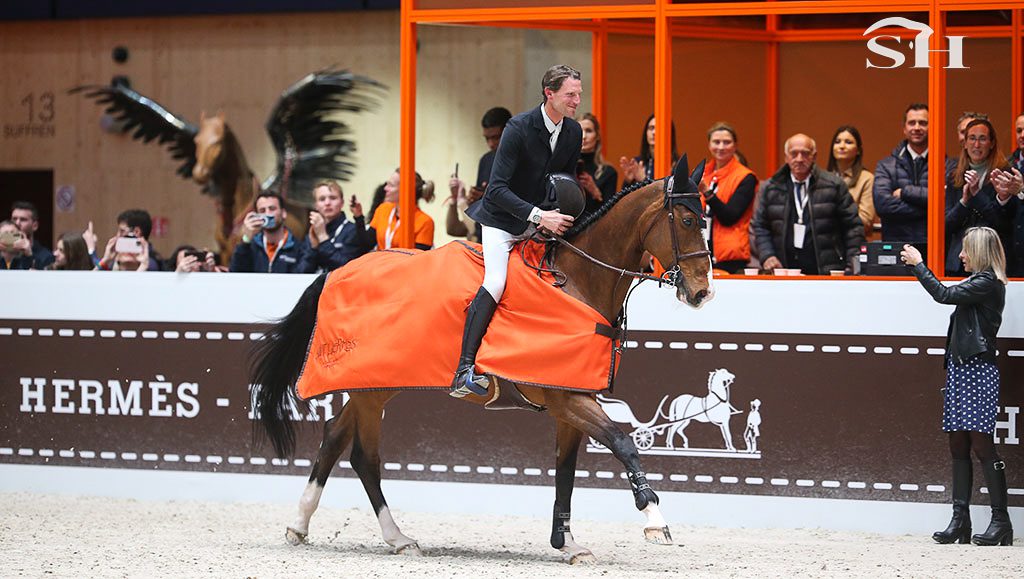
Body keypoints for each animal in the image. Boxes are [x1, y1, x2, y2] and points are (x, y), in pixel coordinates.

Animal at [249, 155, 712, 561]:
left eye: (706, 221)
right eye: (688, 221)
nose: (702, 293)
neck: (576, 283)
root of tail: (338, 269)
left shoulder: (570, 400)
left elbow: (566, 471)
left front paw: (566, 543)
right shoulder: (567, 399)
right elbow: (621, 442)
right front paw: (654, 518)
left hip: (374, 383)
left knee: (332, 438)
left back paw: (301, 524)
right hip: (373, 390)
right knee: (364, 456)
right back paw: (397, 537)